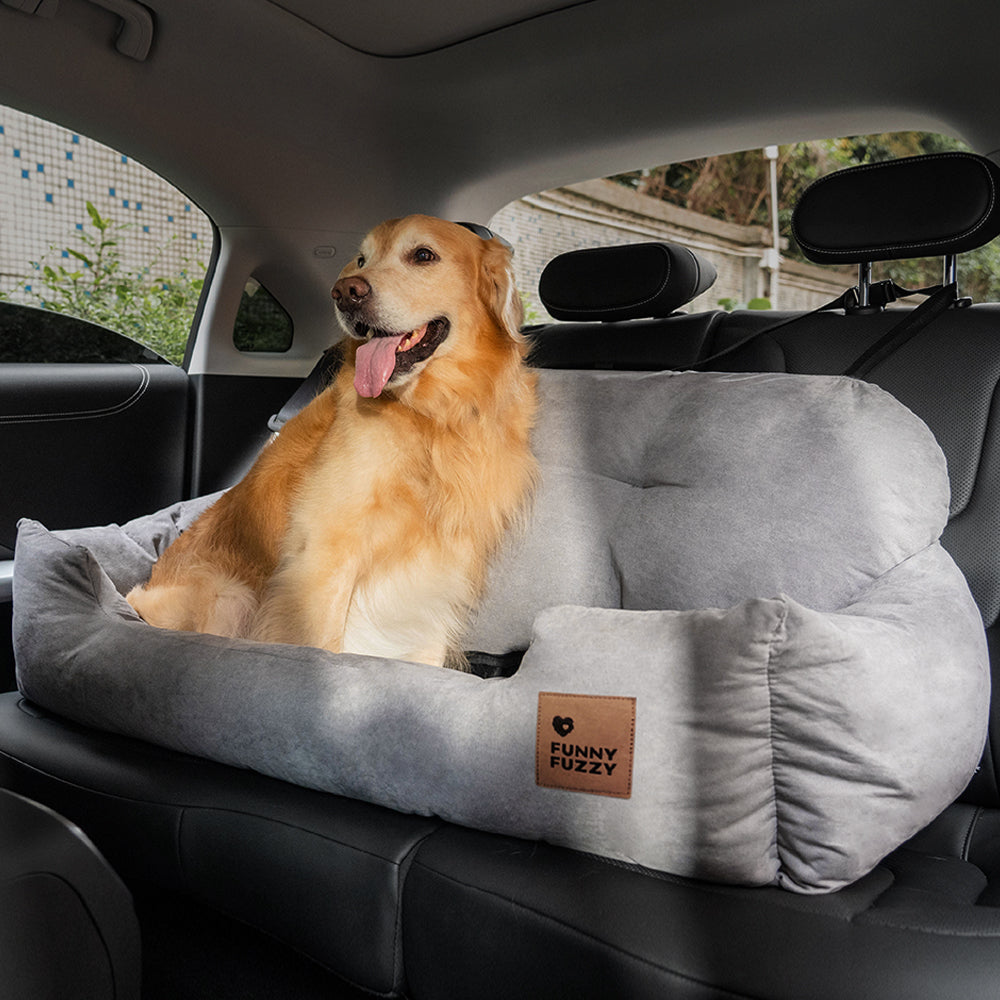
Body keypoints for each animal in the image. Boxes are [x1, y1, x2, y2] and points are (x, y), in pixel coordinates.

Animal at [127, 215, 540, 668]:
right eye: (361, 259)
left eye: (423, 255)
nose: (345, 292)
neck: (433, 415)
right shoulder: (323, 553)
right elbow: (320, 646)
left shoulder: (440, 575)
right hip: (230, 595)